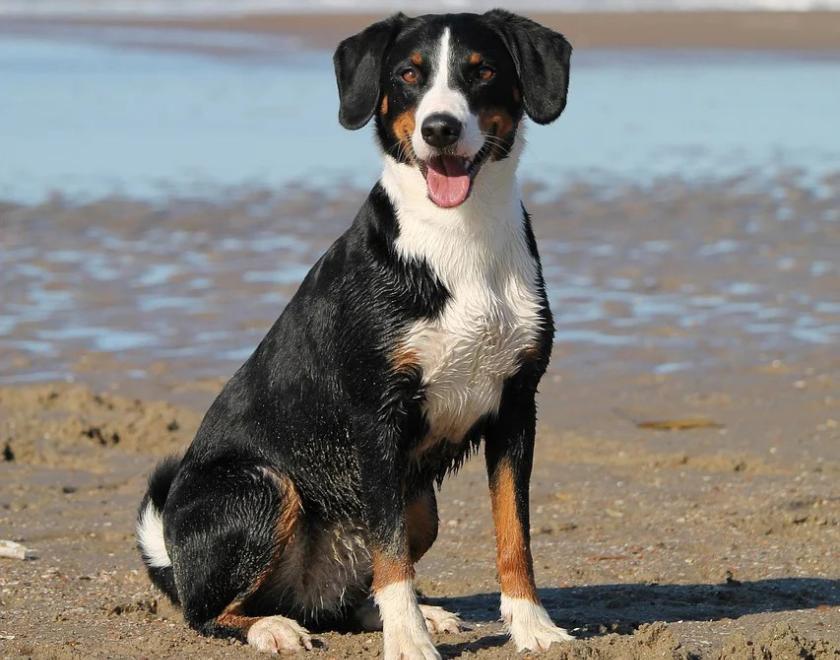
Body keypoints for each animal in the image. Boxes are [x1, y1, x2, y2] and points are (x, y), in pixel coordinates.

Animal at [138, 11, 572, 660]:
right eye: (409, 75)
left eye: (482, 71)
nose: (440, 128)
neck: (458, 239)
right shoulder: (376, 418)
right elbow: (391, 556)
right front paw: (409, 641)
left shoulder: (517, 406)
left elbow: (512, 533)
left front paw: (532, 627)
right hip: (264, 485)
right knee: (210, 610)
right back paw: (275, 627)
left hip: (421, 504)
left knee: (348, 596)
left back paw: (417, 614)